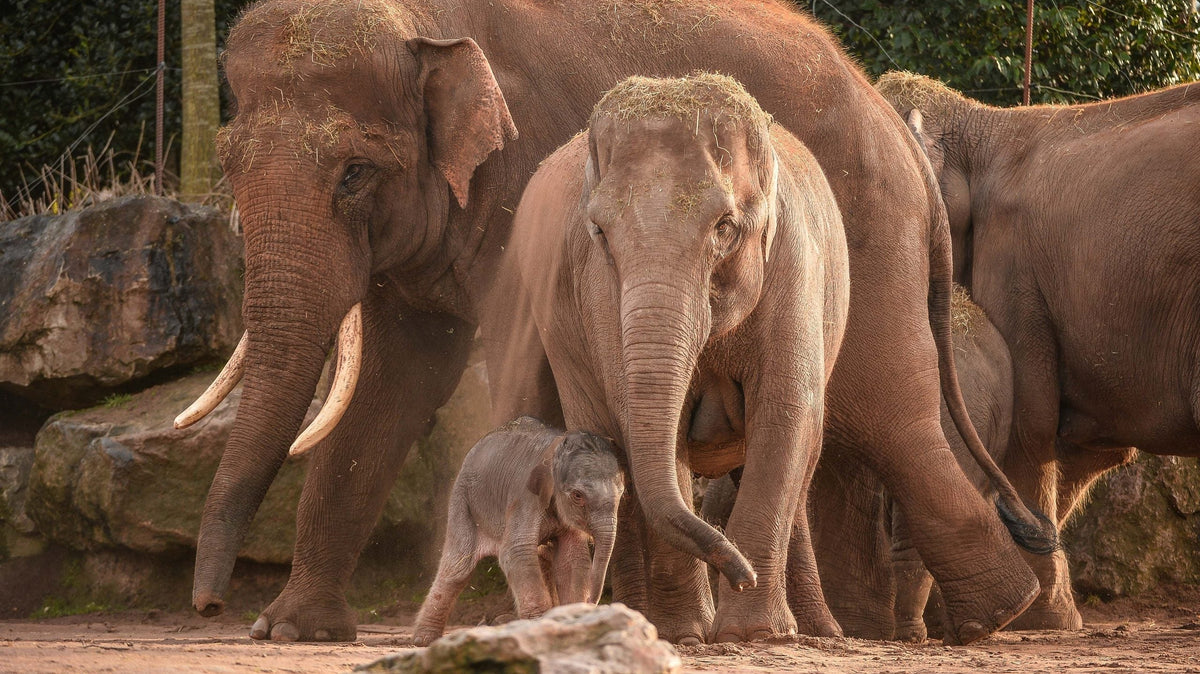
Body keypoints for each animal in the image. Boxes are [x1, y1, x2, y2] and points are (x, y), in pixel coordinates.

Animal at [412, 417, 624, 646]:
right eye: (578, 496)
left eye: (622, 493)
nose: (592, 603)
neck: (555, 448)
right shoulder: (524, 497)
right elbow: (516, 552)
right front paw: (537, 628)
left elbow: (571, 560)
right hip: (462, 500)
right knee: (457, 569)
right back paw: (423, 640)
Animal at [510, 73, 850, 641]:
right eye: (599, 233)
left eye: (724, 227)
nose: (740, 574)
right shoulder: (601, 292)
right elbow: (644, 425)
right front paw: (686, 633)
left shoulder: (794, 265)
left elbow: (785, 415)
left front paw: (751, 635)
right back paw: (641, 618)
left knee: (804, 457)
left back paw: (821, 632)